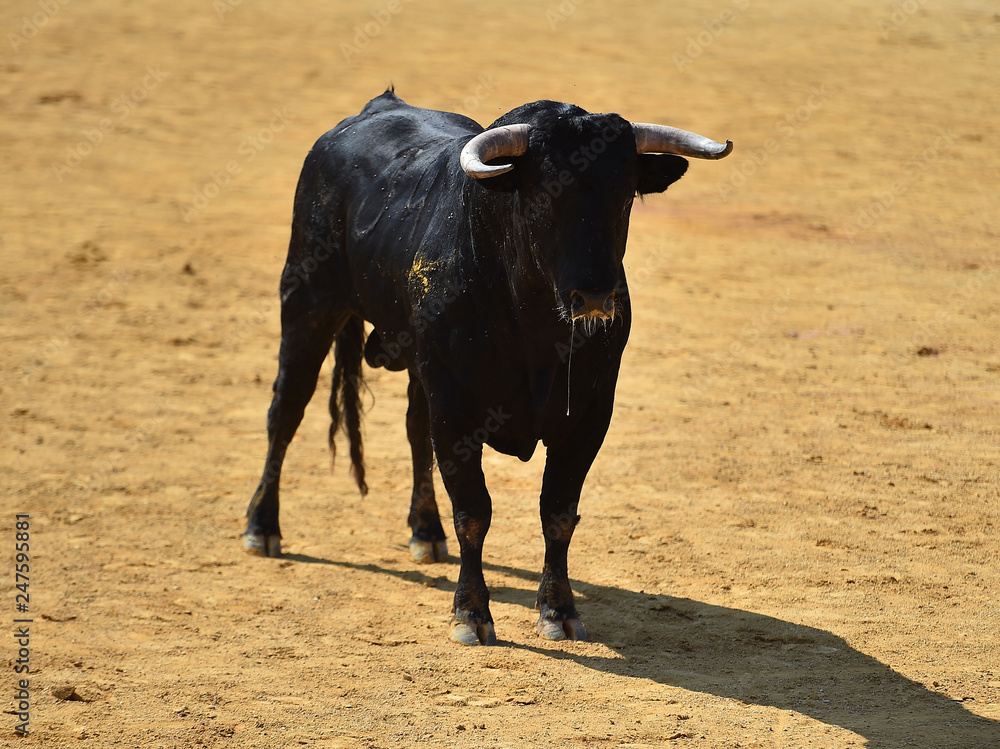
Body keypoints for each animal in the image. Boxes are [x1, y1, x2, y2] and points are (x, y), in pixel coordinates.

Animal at [243, 90, 731, 645]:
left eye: (626, 196)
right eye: (543, 198)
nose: (594, 296)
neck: (534, 327)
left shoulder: (589, 414)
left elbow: (558, 512)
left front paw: (559, 610)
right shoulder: (456, 409)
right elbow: (474, 512)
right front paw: (471, 614)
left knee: (414, 430)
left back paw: (425, 532)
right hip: (306, 303)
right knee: (285, 411)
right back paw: (263, 528)